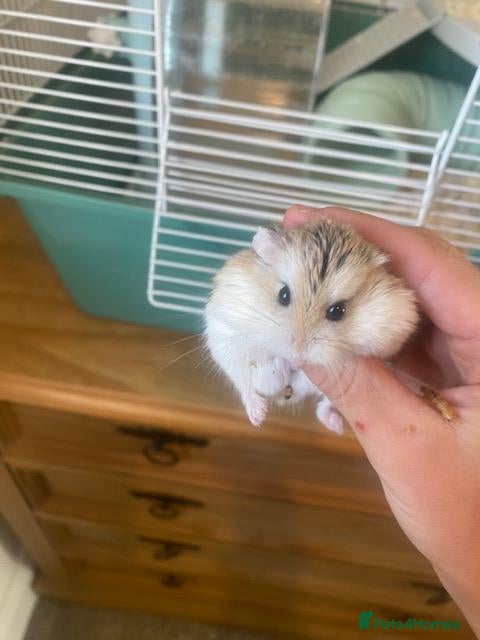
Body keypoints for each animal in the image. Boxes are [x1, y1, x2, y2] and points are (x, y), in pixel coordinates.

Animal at [204, 219, 418, 434]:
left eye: (337, 311)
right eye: (283, 294)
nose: (296, 358)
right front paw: (285, 363)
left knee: (321, 405)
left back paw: (336, 426)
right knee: (250, 385)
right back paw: (260, 412)